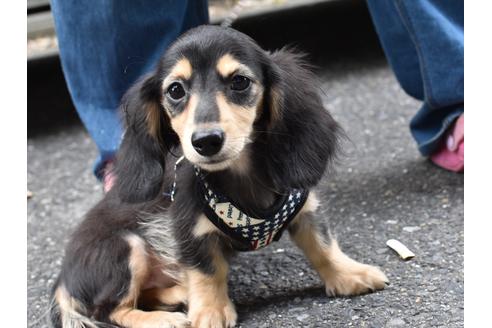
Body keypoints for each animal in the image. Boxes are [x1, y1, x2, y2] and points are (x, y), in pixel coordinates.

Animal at [50, 26, 388, 328]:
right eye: (175, 90)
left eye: (239, 82)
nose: (206, 141)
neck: (241, 176)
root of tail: (63, 281)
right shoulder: (189, 230)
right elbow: (207, 271)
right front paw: (210, 312)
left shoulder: (304, 208)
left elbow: (323, 245)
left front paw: (350, 275)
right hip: (125, 246)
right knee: (109, 310)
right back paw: (162, 318)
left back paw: (177, 293)